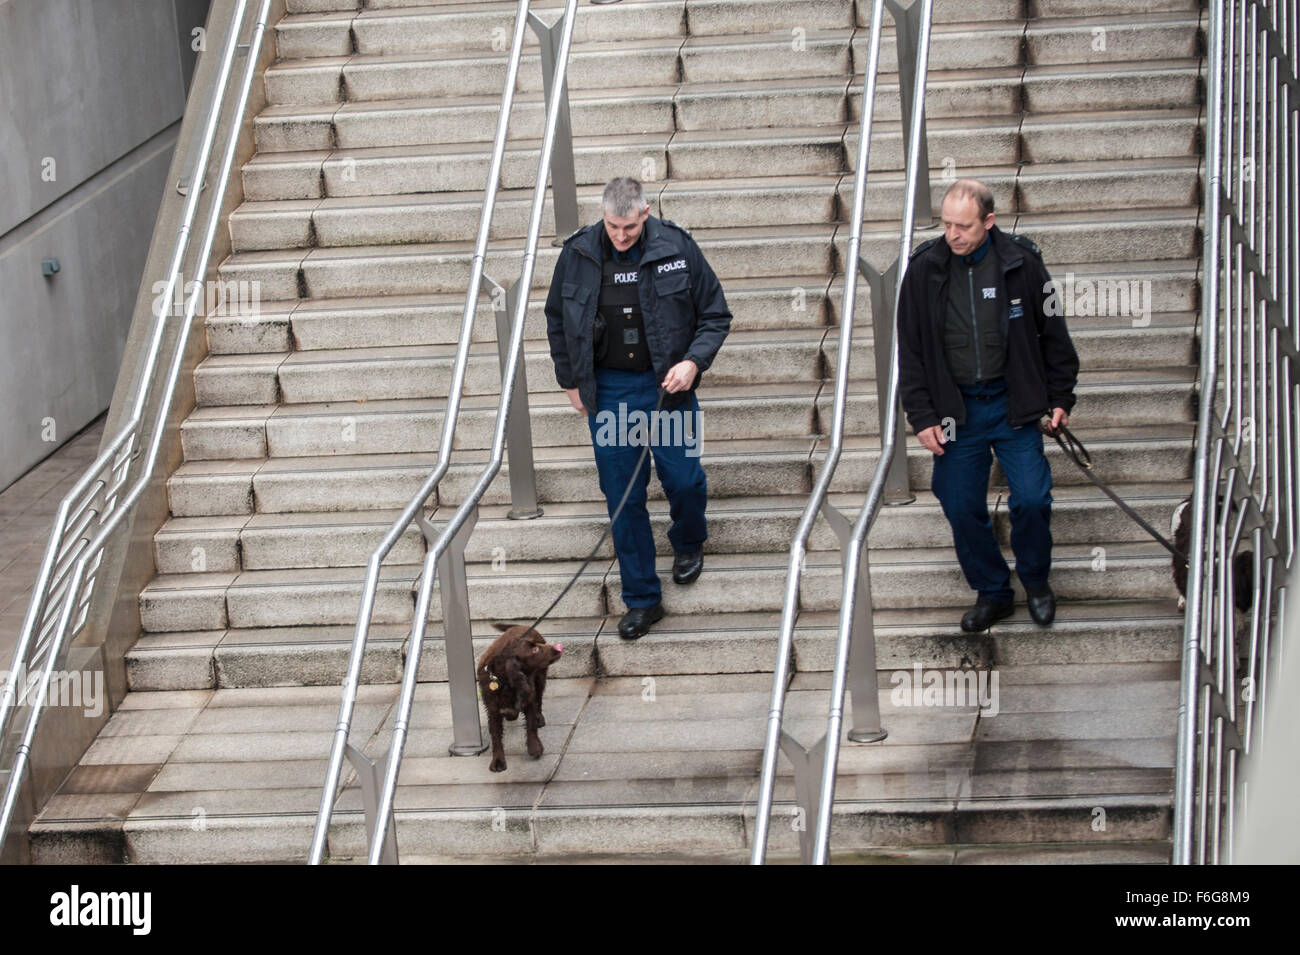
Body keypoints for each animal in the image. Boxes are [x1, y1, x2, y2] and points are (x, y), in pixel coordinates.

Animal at [475, 623, 561, 774]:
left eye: (536, 646)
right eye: (534, 649)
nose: (557, 648)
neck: (503, 682)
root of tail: (521, 625)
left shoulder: (528, 695)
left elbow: (531, 724)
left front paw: (535, 747)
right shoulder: (492, 708)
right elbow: (496, 735)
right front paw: (498, 760)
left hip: (540, 678)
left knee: (539, 700)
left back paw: (539, 718)